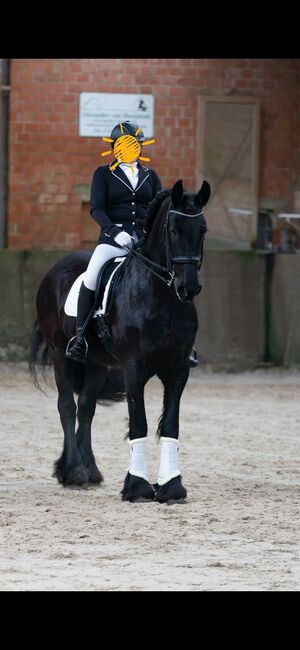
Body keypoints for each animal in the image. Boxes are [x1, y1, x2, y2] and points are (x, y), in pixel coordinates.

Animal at [29, 180, 209, 504]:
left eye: (202, 229)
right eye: (173, 230)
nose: (188, 288)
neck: (161, 297)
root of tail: (56, 269)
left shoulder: (178, 369)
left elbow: (171, 425)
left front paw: (172, 487)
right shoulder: (133, 369)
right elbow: (139, 423)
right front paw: (137, 487)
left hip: (96, 363)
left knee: (86, 407)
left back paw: (89, 470)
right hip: (60, 354)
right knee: (67, 406)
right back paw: (74, 472)